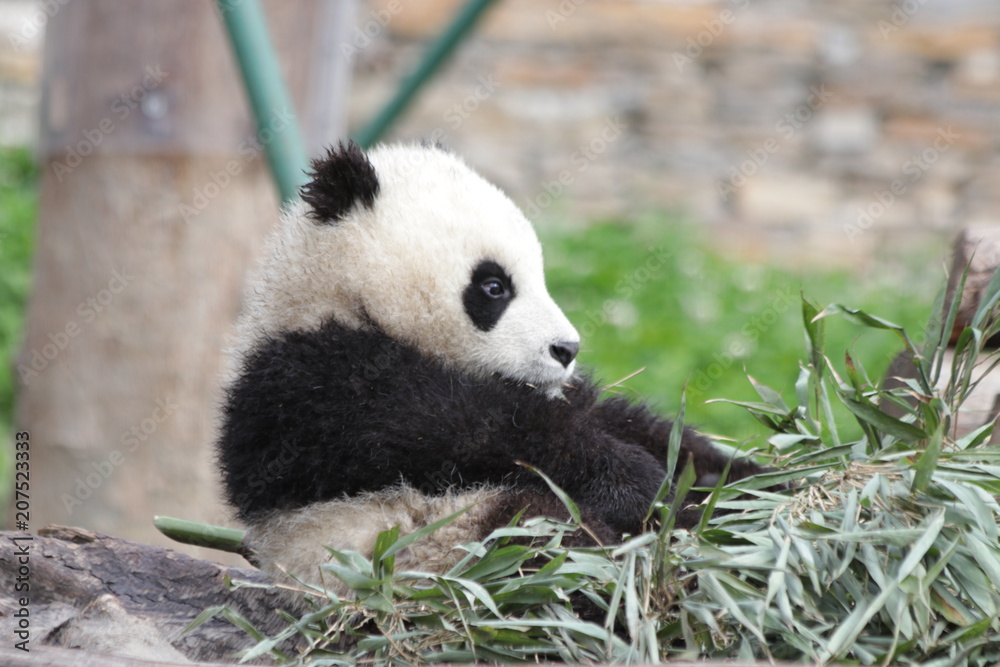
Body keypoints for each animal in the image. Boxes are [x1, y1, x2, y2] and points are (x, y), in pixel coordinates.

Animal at [217, 142, 767, 595]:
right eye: (494, 286)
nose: (566, 349)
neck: (336, 299)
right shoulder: (305, 383)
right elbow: (452, 428)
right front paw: (637, 484)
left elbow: (621, 422)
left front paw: (743, 477)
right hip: (436, 544)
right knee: (539, 543)